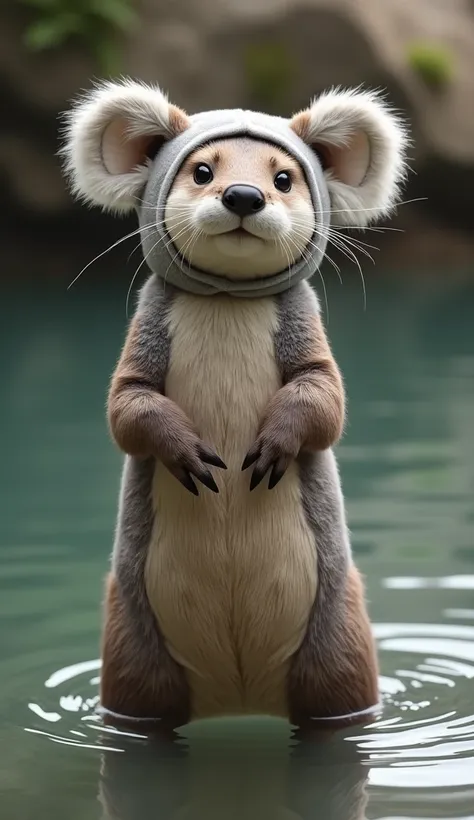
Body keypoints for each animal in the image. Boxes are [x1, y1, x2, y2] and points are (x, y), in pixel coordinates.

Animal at [60, 78, 408, 732]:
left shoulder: (302, 324)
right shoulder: (149, 327)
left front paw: (272, 446)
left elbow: (324, 398)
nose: (243, 196)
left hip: (335, 636)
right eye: (202, 171)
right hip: (135, 646)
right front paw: (190, 454)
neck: (227, 300)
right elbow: (128, 406)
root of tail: (240, 698)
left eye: (284, 179)